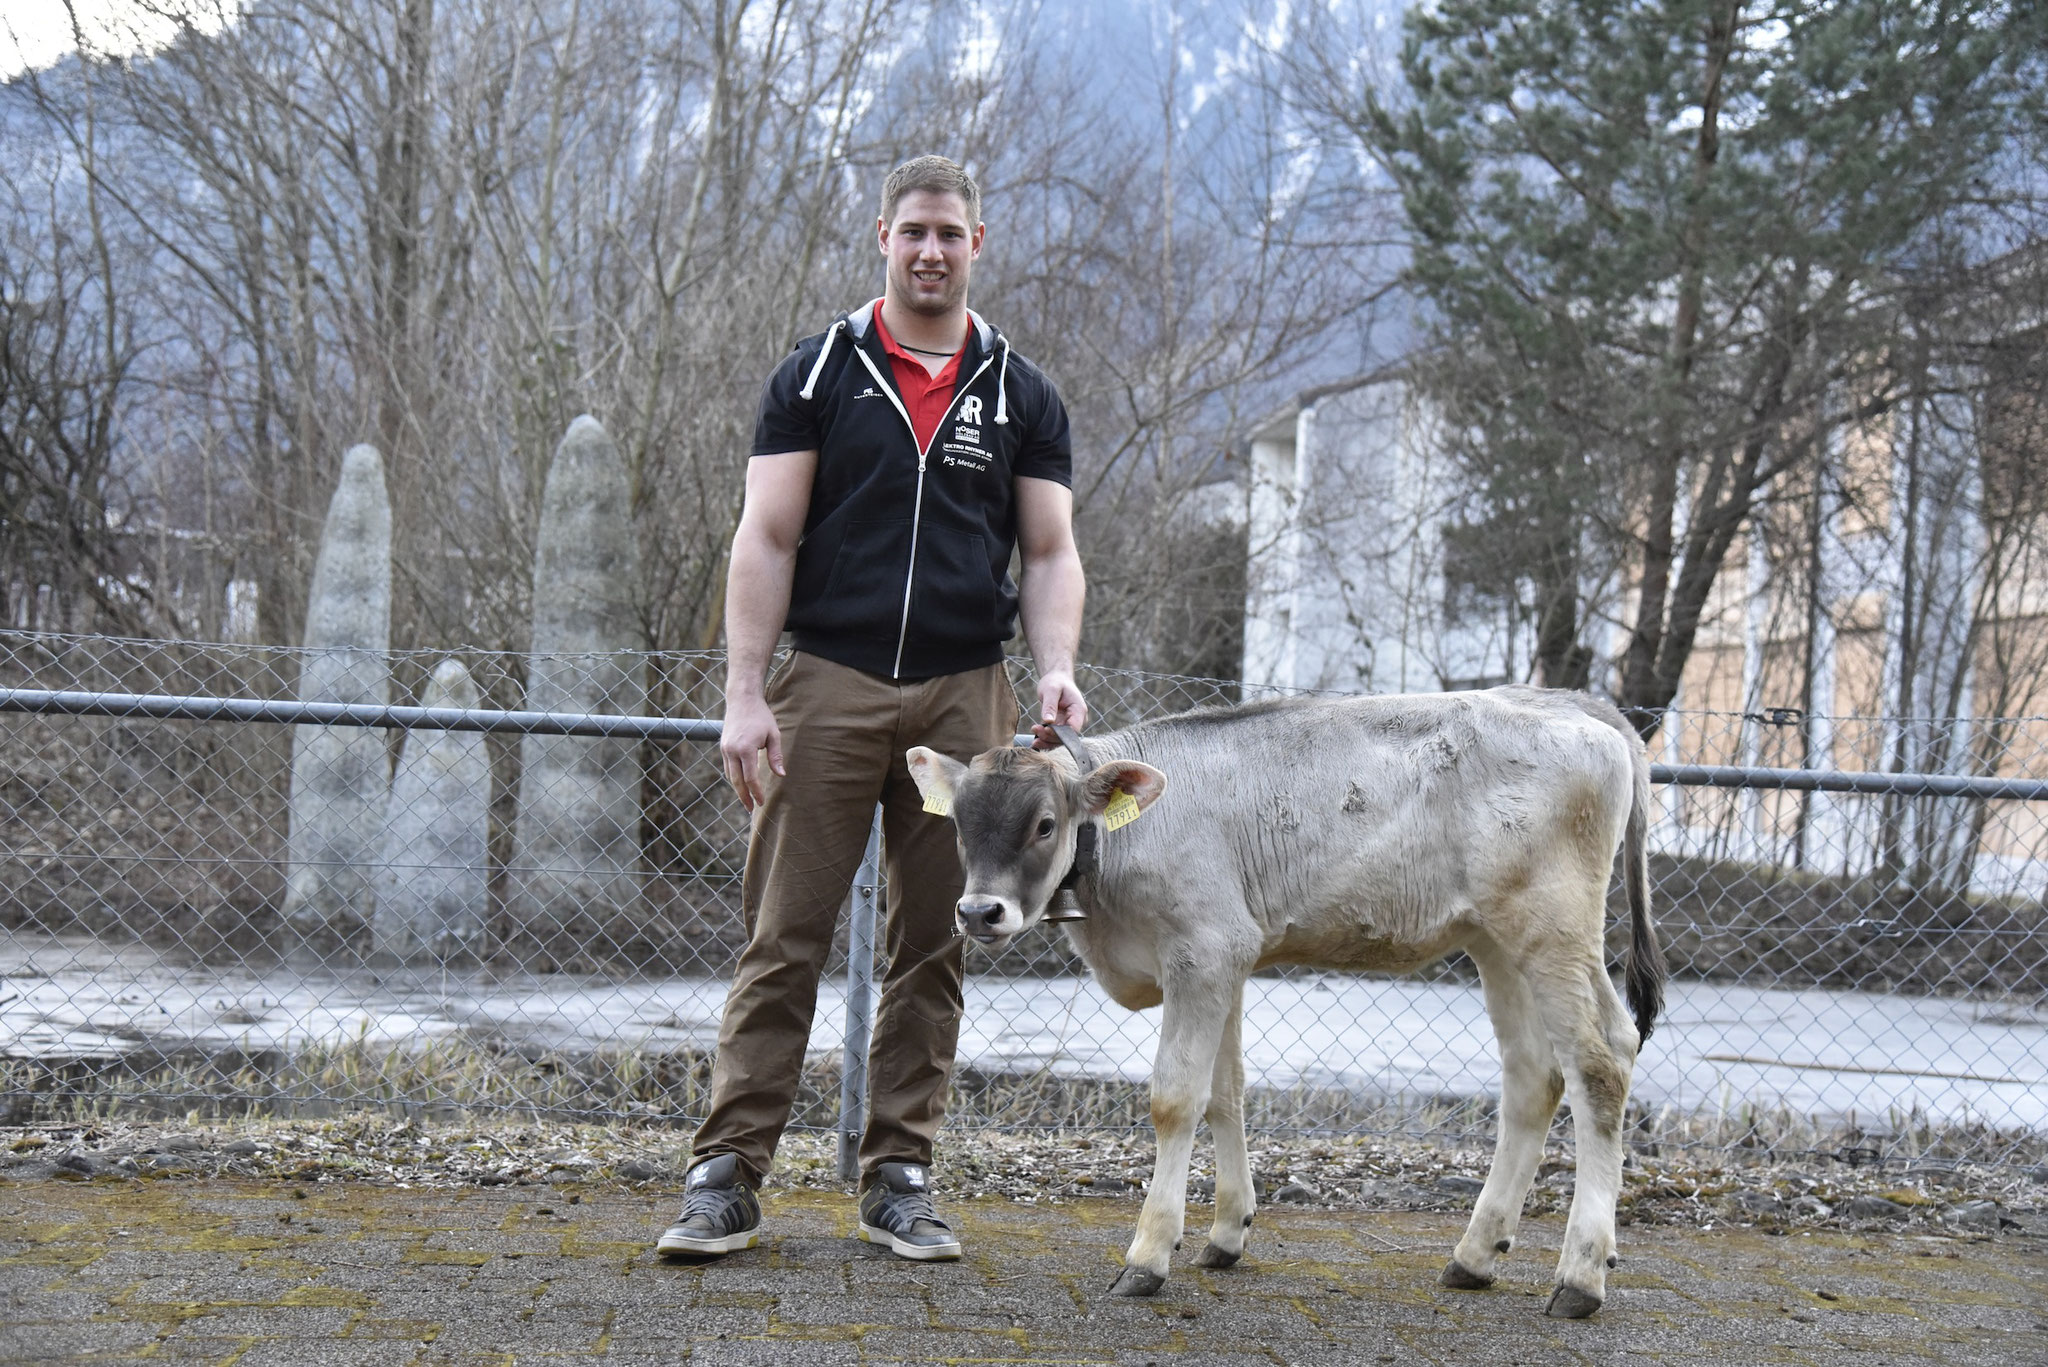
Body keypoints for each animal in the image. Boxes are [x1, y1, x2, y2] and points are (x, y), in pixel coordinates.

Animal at [913, 688, 1662, 1319]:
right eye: (960, 826)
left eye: (1044, 824)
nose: (978, 912)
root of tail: (1571, 702)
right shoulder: (1229, 960)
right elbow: (1225, 1093)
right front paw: (1226, 1233)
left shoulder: (1203, 951)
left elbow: (1175, 1099)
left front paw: (1149, 1256)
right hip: (1495, 939)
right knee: (1533, 1077)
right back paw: (1475, 1255)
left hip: (1554, 927)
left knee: (1602, 1060)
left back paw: (1580, 1275)